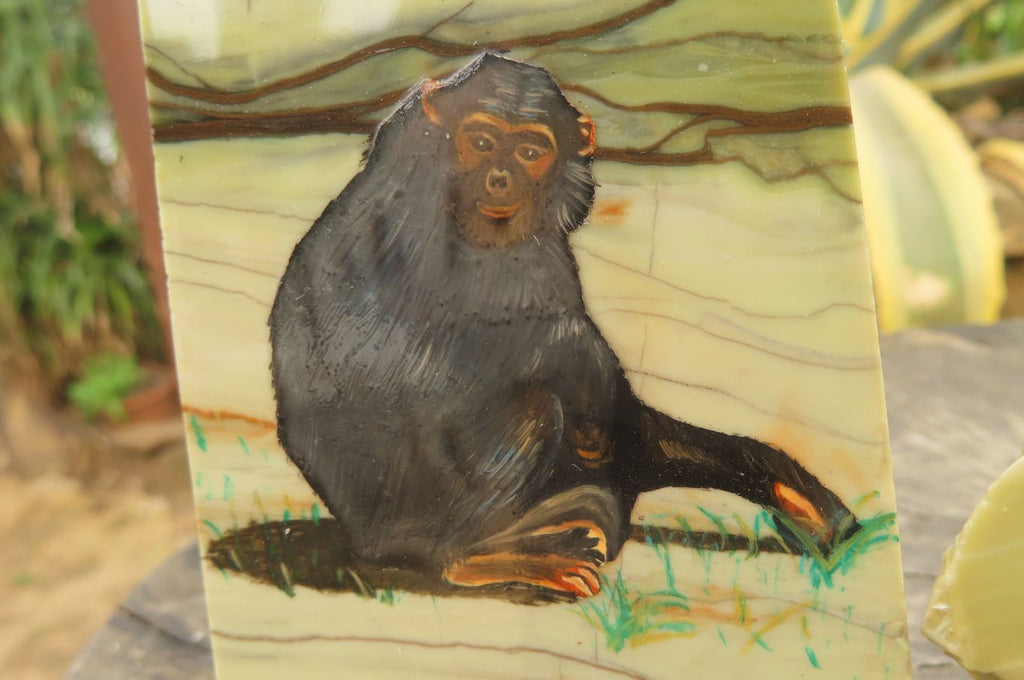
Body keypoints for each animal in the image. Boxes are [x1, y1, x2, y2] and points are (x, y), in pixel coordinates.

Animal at [269, 53, 859, 599]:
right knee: (532, 402)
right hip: (428, 515)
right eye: (481, 141)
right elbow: (529, 346)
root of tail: (369, 543)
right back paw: (480, 555)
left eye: (530, 152)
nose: (500, 175)